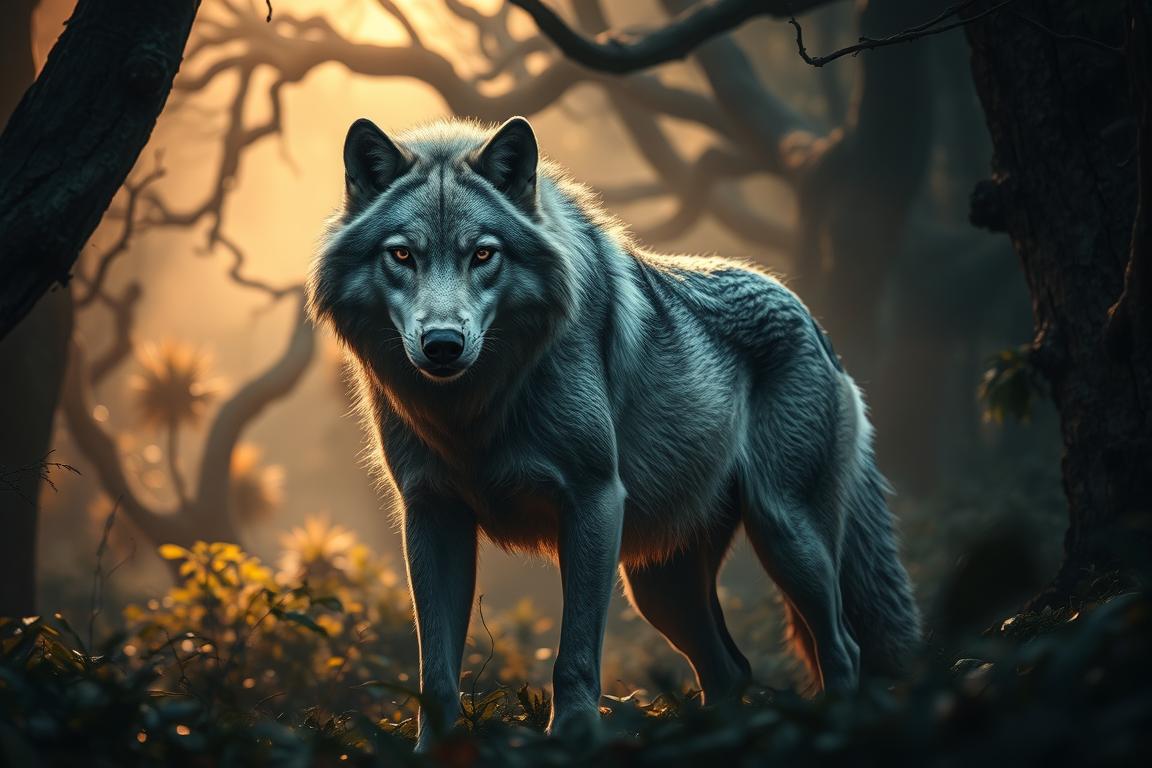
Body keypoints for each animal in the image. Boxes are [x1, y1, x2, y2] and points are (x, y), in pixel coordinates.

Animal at [308, 116, 919, 749]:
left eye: (483, 254)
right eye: (402, 254)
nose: (443, 345)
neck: (472, 412)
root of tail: (812, 317)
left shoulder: (593, 500)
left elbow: (574, 656)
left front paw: (571, 739)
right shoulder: (432, 515)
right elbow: (436, 672)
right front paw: (437, 753)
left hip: (783, 536)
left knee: (842, 648)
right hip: (659, 586)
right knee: (732, 669)